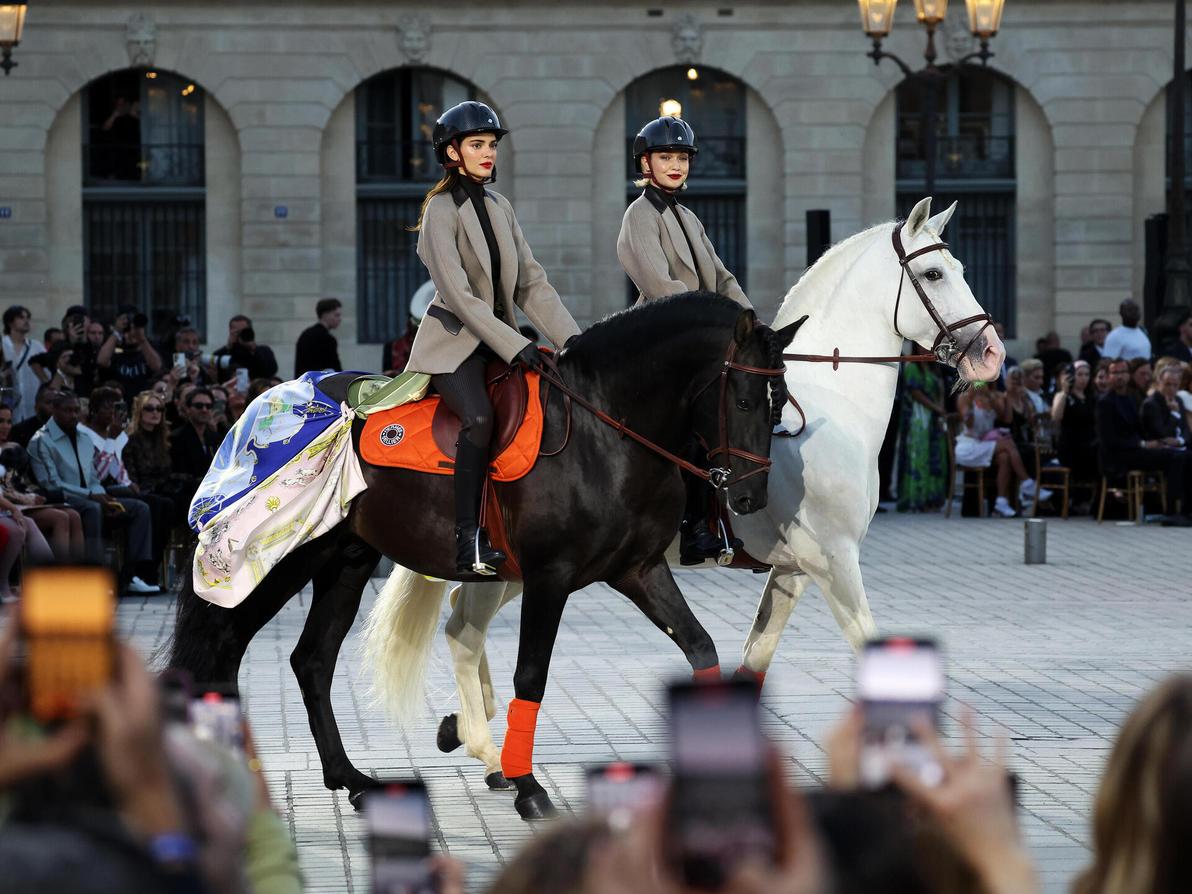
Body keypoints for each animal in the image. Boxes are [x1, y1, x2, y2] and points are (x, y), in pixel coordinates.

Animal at [170, 294, 801, 820]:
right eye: (745, 399)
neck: (604, 433)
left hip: (346, 560)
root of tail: (267, 401)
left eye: (779, 408)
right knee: (224, 647)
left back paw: (352, 779)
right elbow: (532, 674)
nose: (749, 497)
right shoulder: (550, 577)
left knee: (313, 661)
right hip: (282, 560)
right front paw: (527, 786)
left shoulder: (638, 570)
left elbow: (700, 647)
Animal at [364, 199, 1006, 786]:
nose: (991, 354)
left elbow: (755, 657)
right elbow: (868, 644)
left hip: (517, 568)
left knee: (461, 624)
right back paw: (487, 748)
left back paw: (472, 736)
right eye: (934, 274)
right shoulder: (833, 560)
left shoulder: (795, 569)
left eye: (961, 267)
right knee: (462, 630)